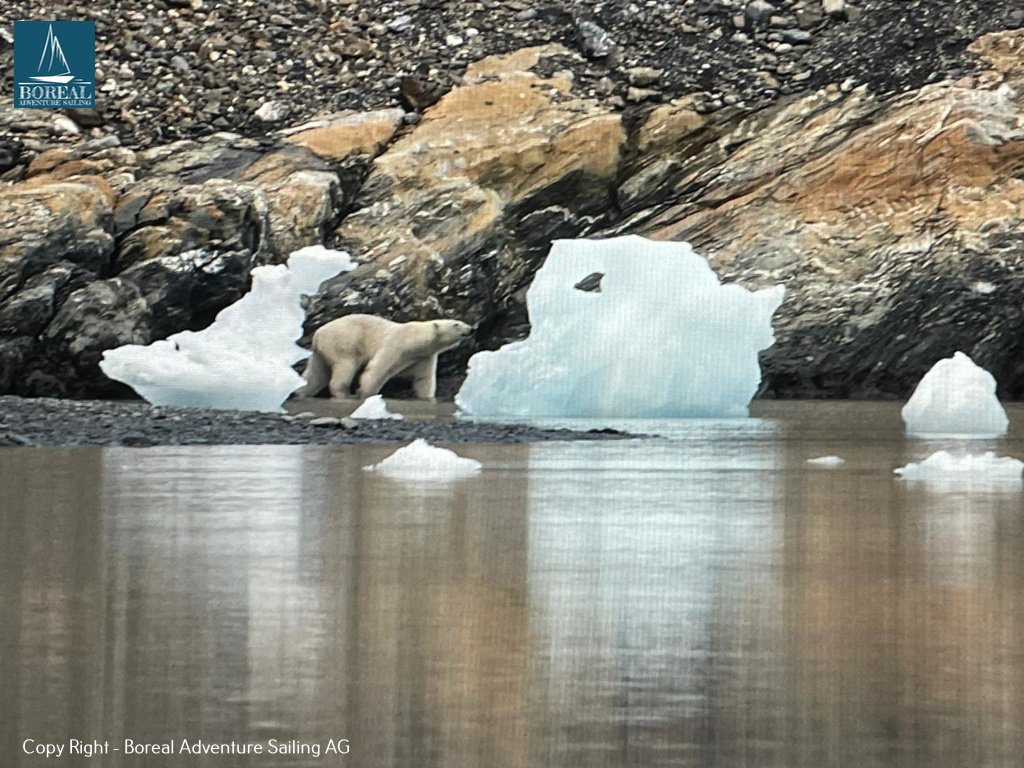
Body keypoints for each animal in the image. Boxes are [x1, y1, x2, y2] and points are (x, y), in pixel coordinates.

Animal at [296, 314, 474, 400]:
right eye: (456, 324)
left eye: (460, 321)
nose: (471, 329)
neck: (416, 340)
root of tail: (318, 334)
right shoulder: (396, 345)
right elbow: (378, 368)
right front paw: (365, 393)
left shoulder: (424, 357)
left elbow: (424, 379)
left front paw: (427, 397)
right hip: (343, 343)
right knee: (345, 367)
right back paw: (346, 394)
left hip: (321, 353)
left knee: (316, 375)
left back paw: (300, 391)